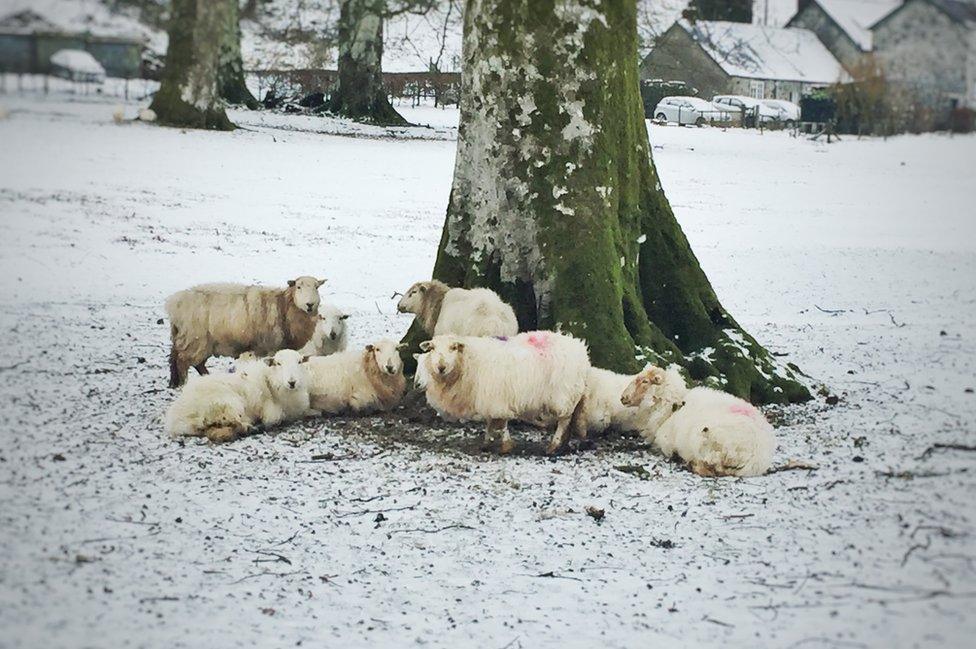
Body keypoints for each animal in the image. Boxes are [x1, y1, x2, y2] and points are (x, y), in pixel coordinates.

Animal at [162, 350, 310, 446]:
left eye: (299, 362)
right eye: (278, 363)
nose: (292, 382)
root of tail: (176, 419)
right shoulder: (271, 410)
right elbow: (275, 418)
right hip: (229, 404)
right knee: (232, 422)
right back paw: (250, 428)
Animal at [164, 278, 324, 388]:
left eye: (316, 287)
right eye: (298, 287)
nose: (310, 305)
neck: (284, 306)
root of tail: (174, 304)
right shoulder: (269, 347)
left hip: (195, 340)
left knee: (180, 358)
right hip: (195, 340)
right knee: (182, 361)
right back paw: (183, 383)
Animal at [420, 332, 588, 454]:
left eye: (453, 347)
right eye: (432, 348)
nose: (441, 367)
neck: (469, 362)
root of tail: (580, 351)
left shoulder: (496, 398)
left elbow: (501, 423)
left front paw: (506, 446)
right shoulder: (488, 398)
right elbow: (490, 422)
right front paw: (486, 443)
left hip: (563, 395)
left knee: (564, 420)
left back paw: (554, 445)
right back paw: (564, 444)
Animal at [620, 364, 772, 476]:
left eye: (645, 381)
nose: (622, 397)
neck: (672, 406)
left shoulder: (666, 442)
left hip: (705, 440)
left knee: (709, 468)